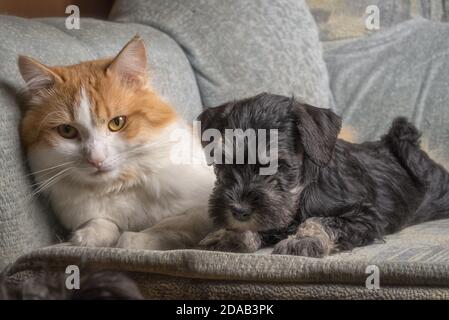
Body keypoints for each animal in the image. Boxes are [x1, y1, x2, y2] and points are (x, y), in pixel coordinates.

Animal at [20, 36, 216, 249]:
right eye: (67, 131)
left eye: (117, 123)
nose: (95, 160)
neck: (119, 186)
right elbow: (103, 223)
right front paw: (85, 237)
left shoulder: (202, 208)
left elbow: (167, 225)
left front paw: (134, 239)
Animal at [197, 92, 449, 258]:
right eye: (222, 163)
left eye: (276, 165)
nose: (239, 211)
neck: (301, 191)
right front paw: (226, 235)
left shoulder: (364, 217)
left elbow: (321, 220)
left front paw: (304, 239)